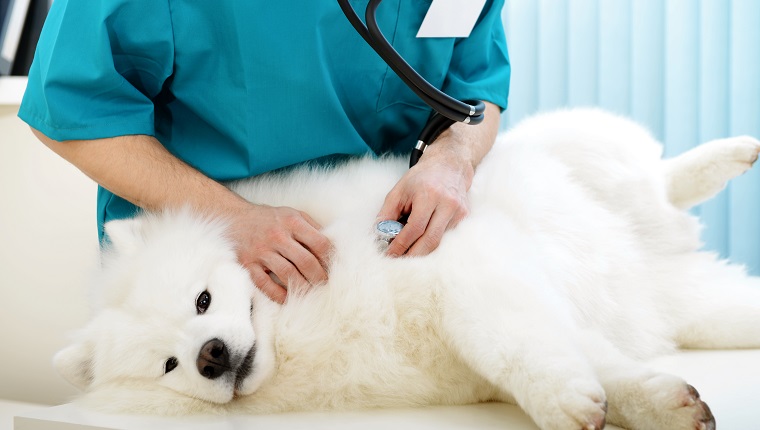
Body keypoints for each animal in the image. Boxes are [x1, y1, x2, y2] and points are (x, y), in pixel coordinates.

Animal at [58, 110, 760, 430]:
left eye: (203, 301)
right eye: (168, 366)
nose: (210, 356)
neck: (304, 330)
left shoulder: (464, 268)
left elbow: (509, 342)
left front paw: (564, 400)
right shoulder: (513, 324)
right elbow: (594, 361)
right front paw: (653, 405)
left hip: (587, 157)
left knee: (659, 178)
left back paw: (731, 153)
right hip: (692, 302)